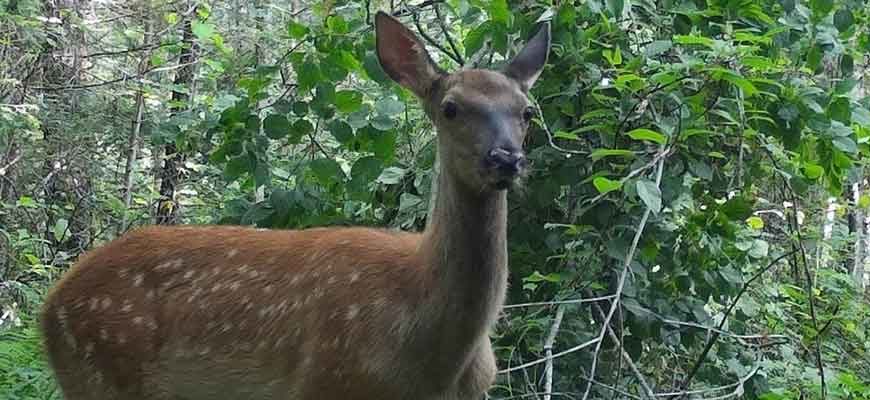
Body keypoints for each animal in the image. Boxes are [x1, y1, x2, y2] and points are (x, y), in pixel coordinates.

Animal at [40, 11, 550, 400]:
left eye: (527, 111)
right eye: (450, 108)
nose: (506, 158)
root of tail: (51, 304)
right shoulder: (324, 381)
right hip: (99, 374)